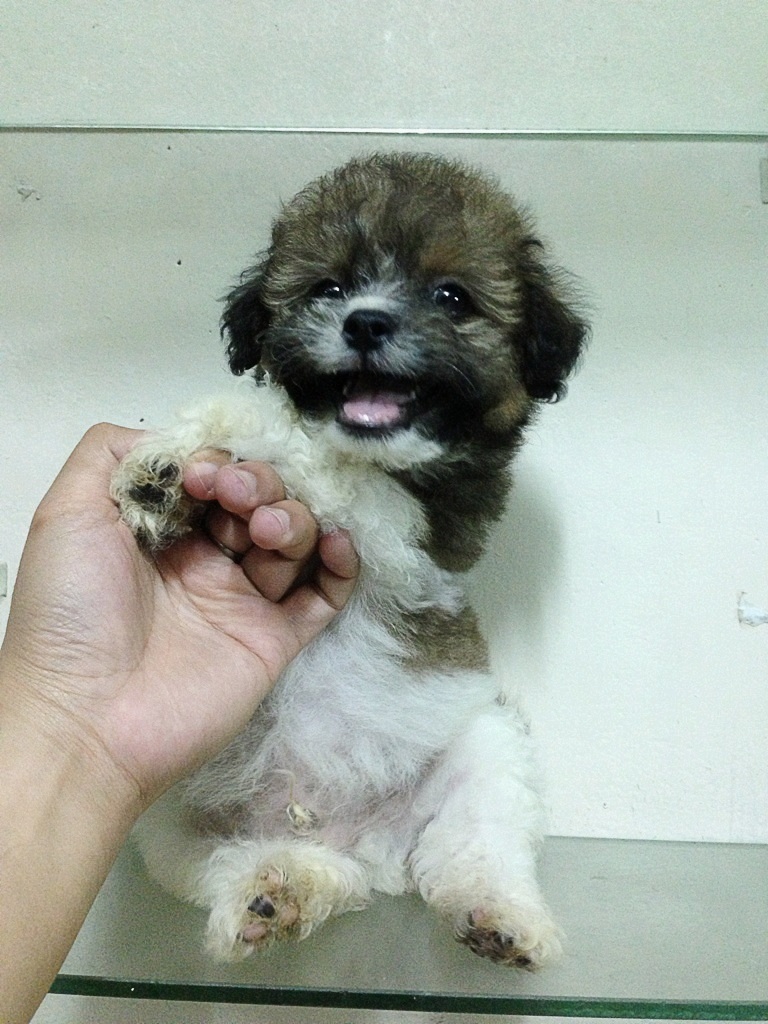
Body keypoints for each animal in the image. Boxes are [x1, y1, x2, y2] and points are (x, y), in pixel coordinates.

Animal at [111, 152, 587, 968]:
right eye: (327, 288)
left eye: (451, 296)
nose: (365, 320)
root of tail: (357, 840)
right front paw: (163, 474)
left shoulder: (417, 522)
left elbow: (300, 445)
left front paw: (208, 449)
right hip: (173, 817)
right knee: (229, 863)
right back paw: (280, 891)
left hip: (487, 743)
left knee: (477, 843)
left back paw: (498, 916)